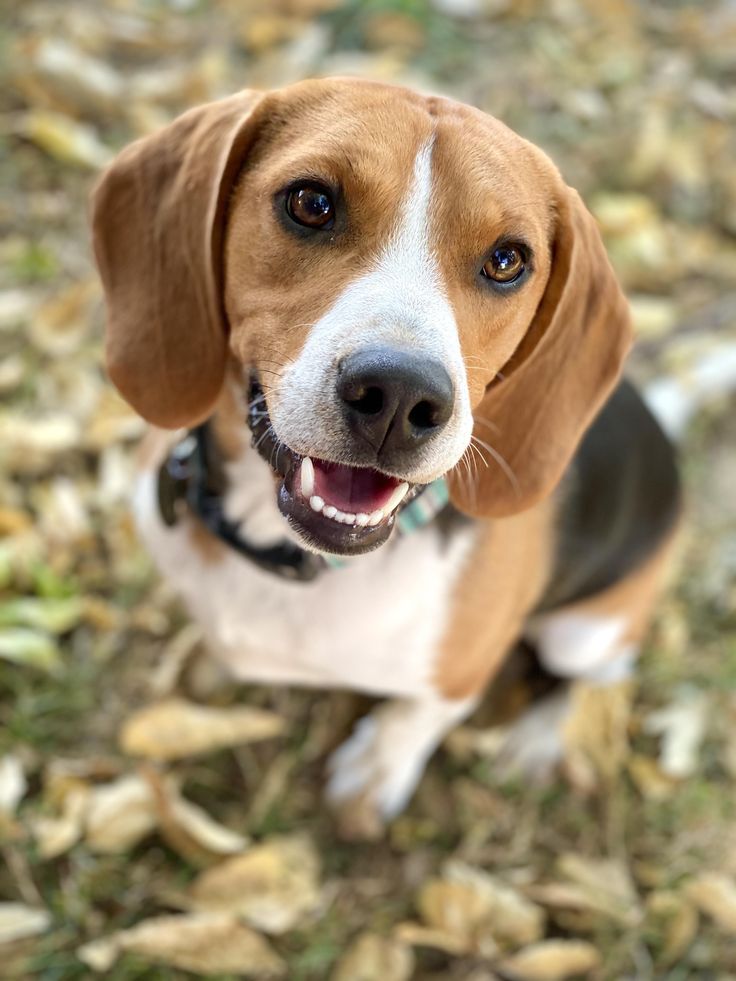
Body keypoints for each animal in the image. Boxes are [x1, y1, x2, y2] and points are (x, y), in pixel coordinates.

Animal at [92, 78, 684, 836]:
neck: (297, 561)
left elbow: (419, 714)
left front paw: (376, 770)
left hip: (589, 629)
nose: (401, 397)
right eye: (311, 203)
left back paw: (536, 736)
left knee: (589, 675)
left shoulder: (461, 672)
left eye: (507, 260)